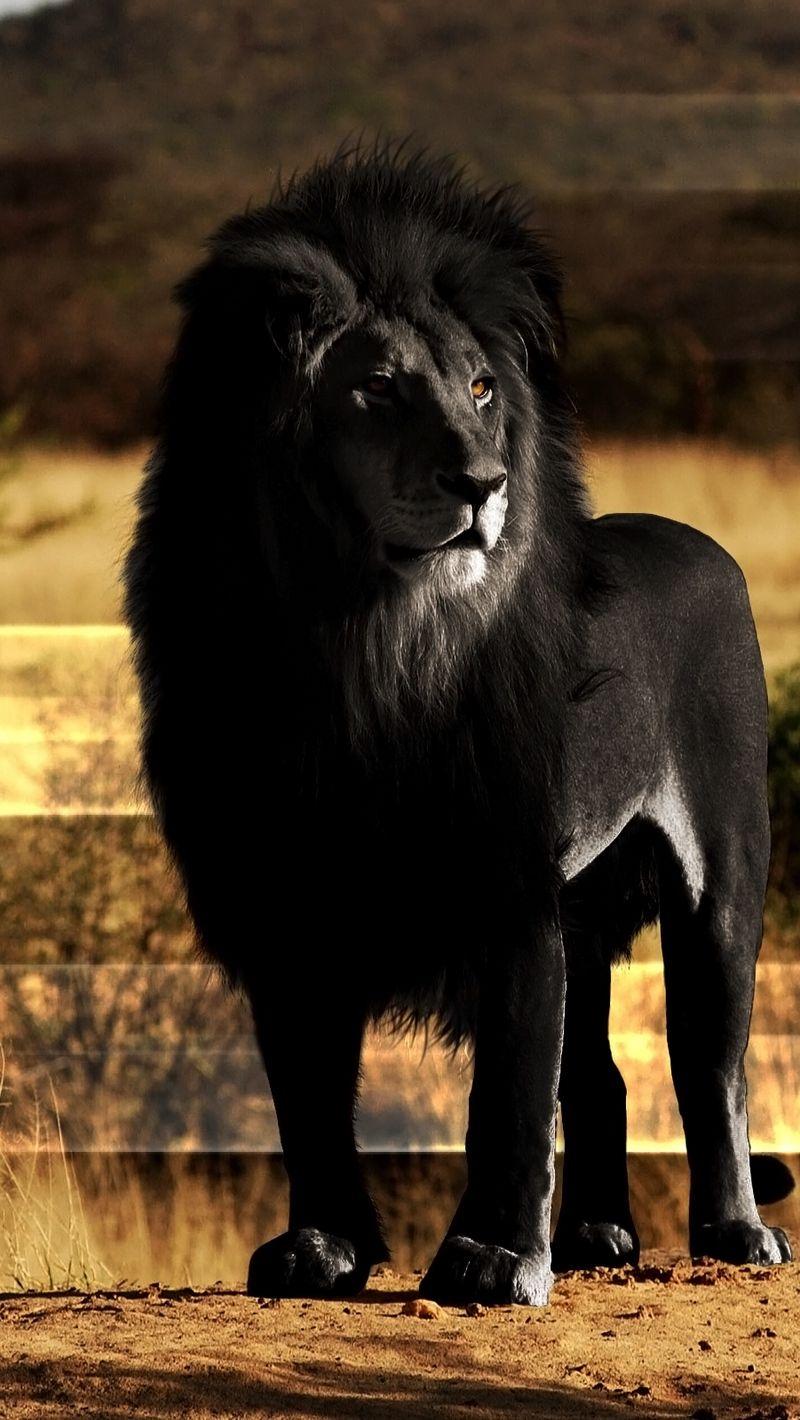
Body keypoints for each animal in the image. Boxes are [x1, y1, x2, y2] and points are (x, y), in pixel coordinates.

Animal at [123, 137, 793, 1307]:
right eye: (378, 389)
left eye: (481, 387)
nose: (483, 482)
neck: (358, 641)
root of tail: (698, 541)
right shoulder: (281, 893)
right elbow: (307, 1095)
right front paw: (322, 1250)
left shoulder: (508, 880)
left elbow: (507, 1094)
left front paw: (489, 1259)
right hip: (585, 909)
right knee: (603, 1076)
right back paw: (596, 1239)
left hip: (720, 872)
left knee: (710, 1061)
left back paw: (731, 1233)